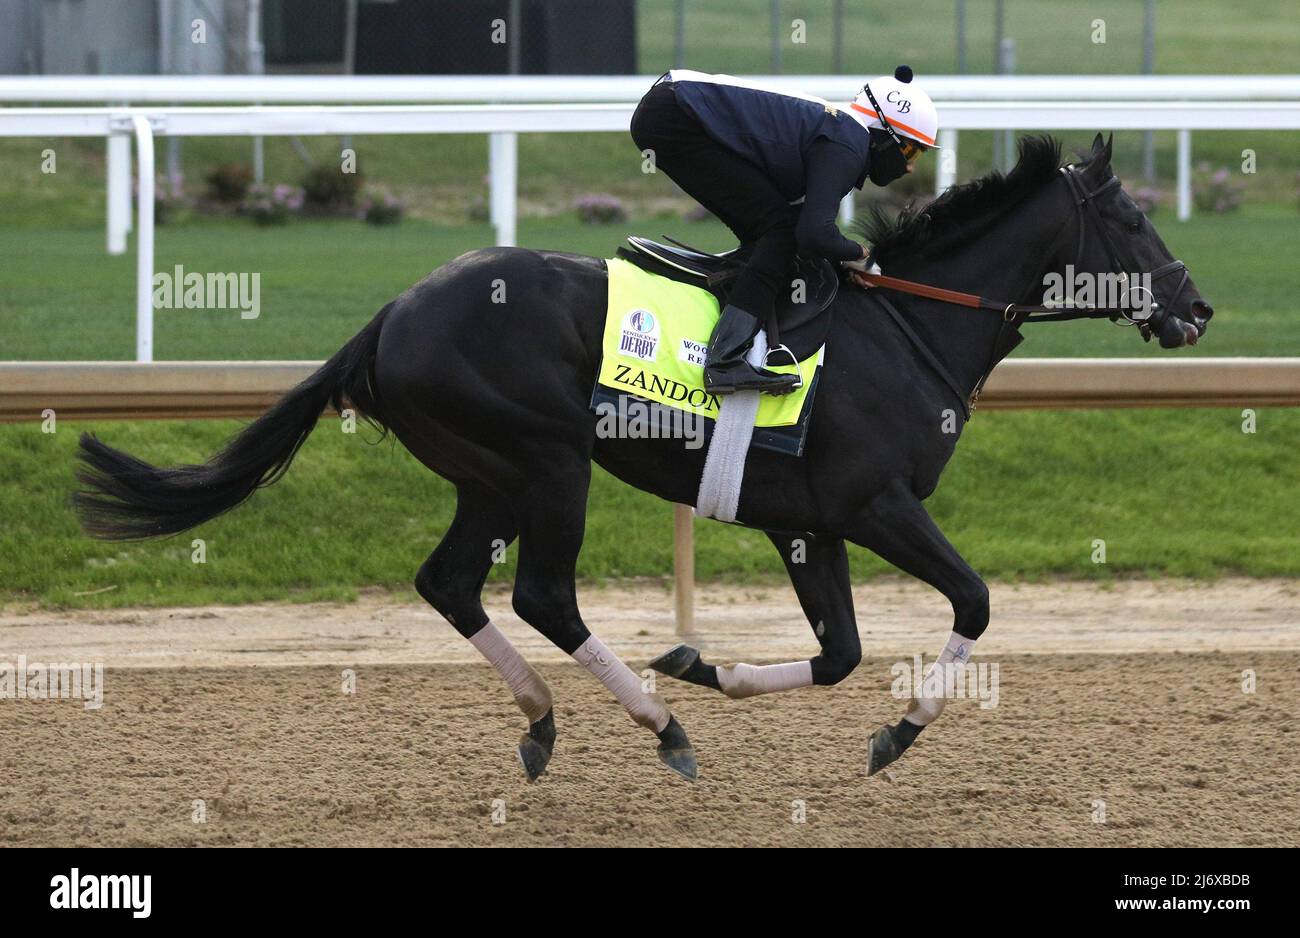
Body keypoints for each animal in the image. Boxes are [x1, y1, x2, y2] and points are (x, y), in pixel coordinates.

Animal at [74, 134, 1213, 782]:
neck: (908, 325)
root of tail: (391, 314)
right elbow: (973, 599)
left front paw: (704, 660)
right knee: (541, 593)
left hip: (488, 475)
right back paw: (657, 724)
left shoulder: (807, 522)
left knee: (451, 582)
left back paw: (549, 717)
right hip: (545, 462)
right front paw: (899, 730)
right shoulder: (874, 503)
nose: (1197, 307)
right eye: (1130, 216)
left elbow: (841, 651)